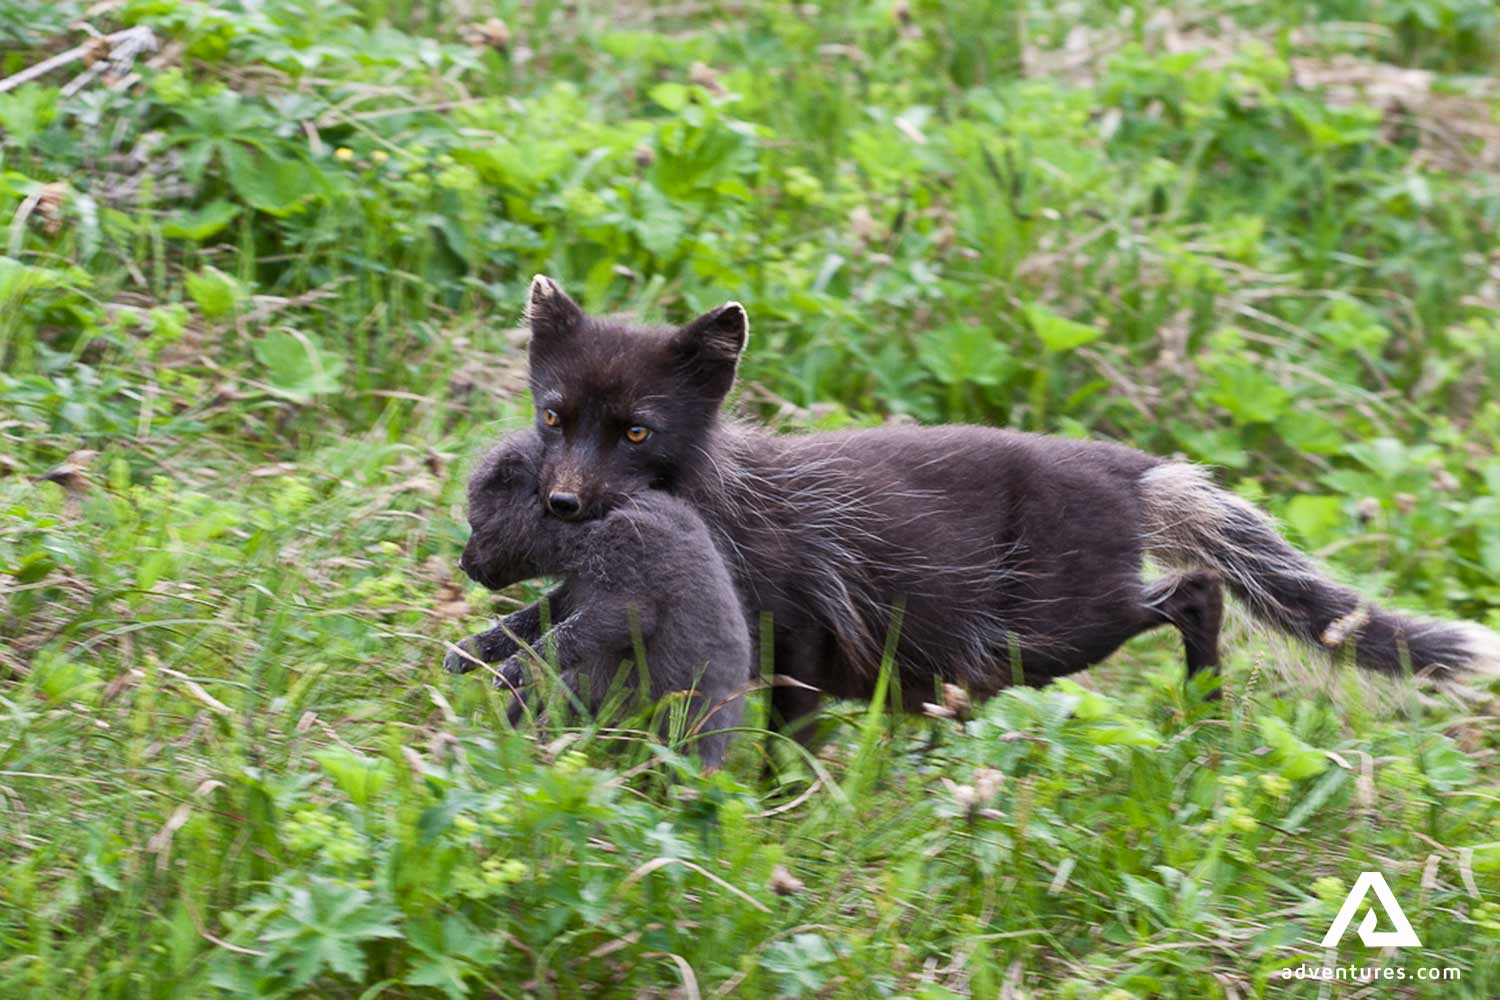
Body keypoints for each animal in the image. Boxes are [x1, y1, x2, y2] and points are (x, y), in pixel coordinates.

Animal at [445, 429, 751, 768]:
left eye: (476, 523)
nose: (463, 564)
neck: (589, 531)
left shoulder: (628, 594)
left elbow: (569, 634)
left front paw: (516, 667)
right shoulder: (573, 590)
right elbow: (525, 622)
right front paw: (469, 650)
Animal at [450, 274, 1500, 740]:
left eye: (638, 431)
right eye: (555, 414)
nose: (566, 501)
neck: (722, 497)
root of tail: (1130, 466)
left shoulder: (785, 624)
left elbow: (781, 720)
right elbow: (532, 630)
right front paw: (477, 663)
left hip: (1050, 625)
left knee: (1194, 592)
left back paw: (1202, 704)